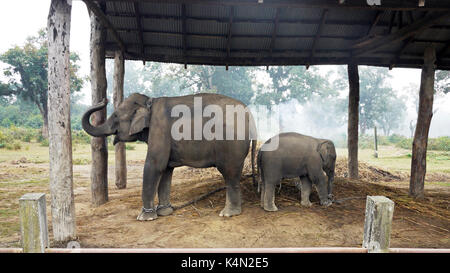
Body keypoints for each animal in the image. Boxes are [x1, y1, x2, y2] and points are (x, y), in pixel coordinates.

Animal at [81, 92, 256, 220]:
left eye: (116, 116)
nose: (104, 99)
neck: (149, 101)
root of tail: (250, 115)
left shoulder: (160, 129)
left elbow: (154, 165)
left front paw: (145, 217)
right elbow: (165, 169)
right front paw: (165, 212)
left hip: (231, 144)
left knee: (230, 174)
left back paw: (228, 214)